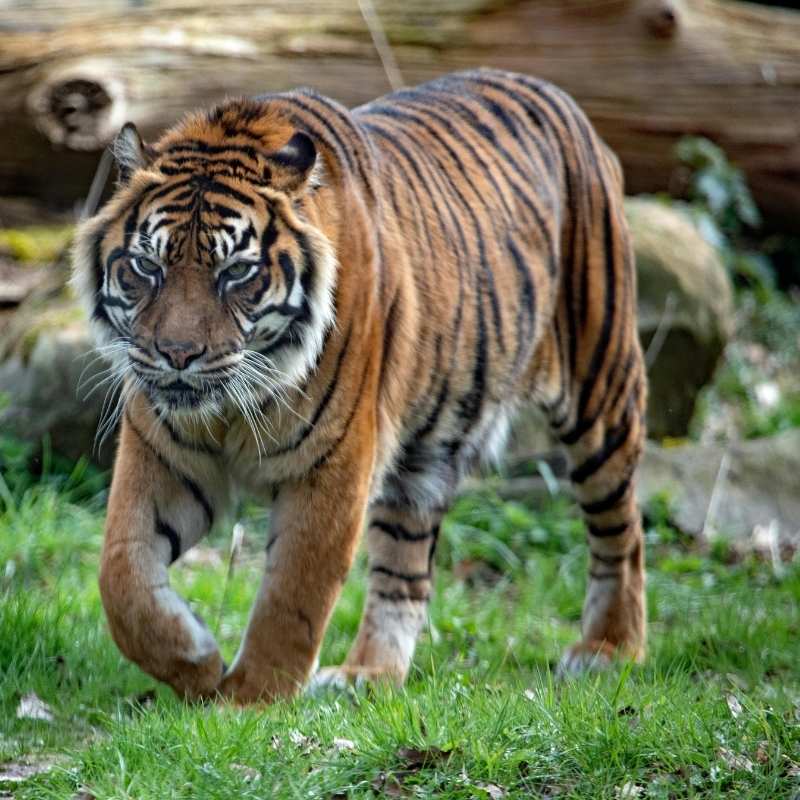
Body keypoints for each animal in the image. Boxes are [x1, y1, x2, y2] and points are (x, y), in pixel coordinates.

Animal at [72, 68, 647, 703]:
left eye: (236, 272)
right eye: (147, 267)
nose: (177, 355)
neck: (230, 408)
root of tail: (556, 94)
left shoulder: (336, 461)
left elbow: (293, 596)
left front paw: (248, 700)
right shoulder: (161, 453)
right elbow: (121, 575)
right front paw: (194, 659)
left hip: (601, 390)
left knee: (621, 530)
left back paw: (610, 650)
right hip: (425, 456)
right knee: (405, 565)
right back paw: (369, 674)